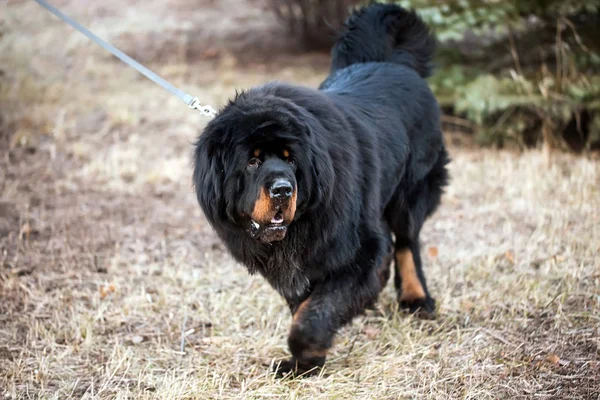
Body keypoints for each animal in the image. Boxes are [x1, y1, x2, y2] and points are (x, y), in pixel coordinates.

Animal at [195, 3, 448, 376]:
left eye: (291, 160)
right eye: (253, 161)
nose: (283, 189)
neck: (302, 223)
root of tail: (392, 62)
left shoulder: (364, 249)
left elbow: (317, 311)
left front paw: (305, 352)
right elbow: (304, 305)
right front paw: (306, 363)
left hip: (411, 191)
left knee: (407, 241)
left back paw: (416, 298)